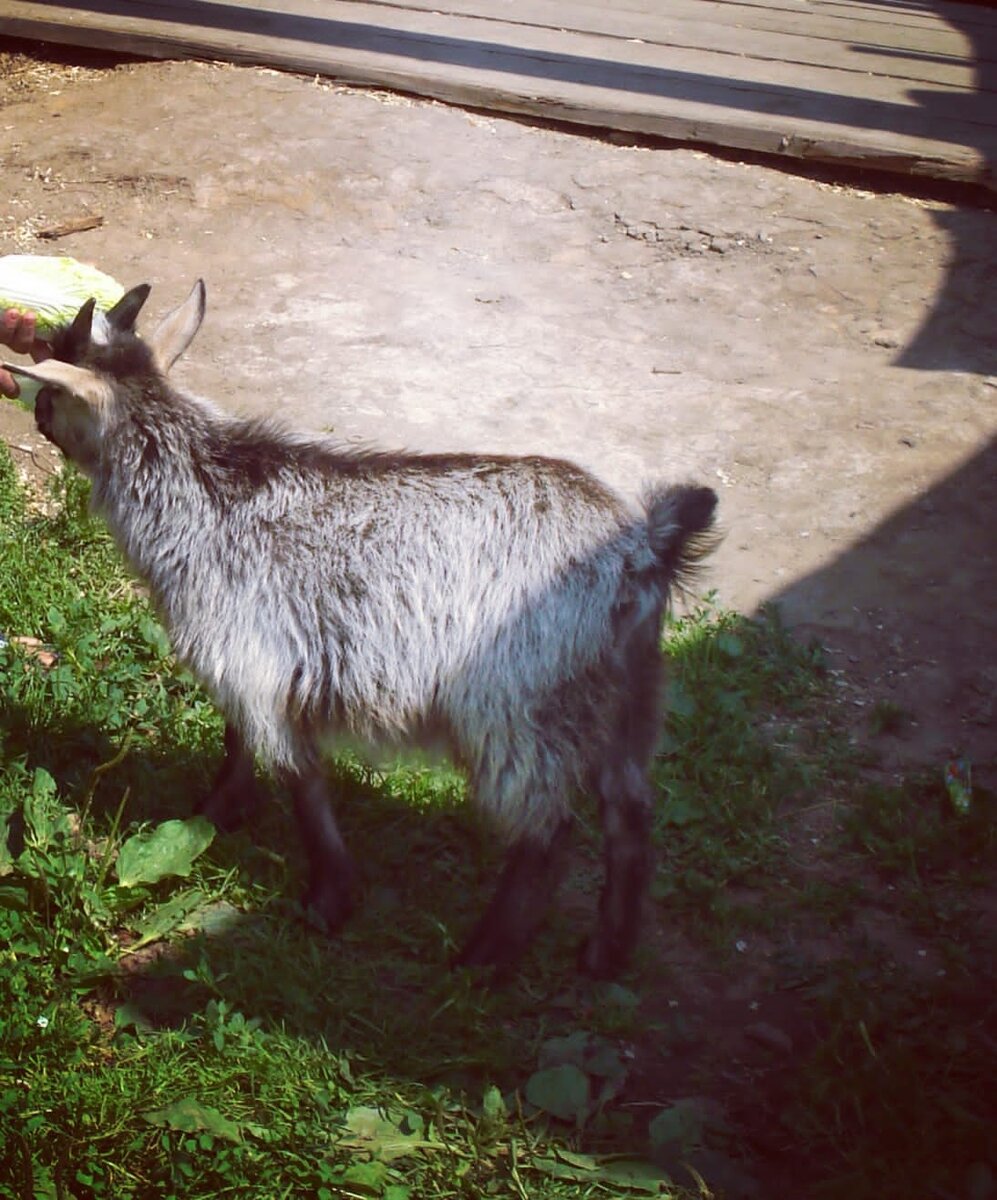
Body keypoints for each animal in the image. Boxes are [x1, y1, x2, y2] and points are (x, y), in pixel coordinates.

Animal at [3, 285, 715, 979]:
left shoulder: (252, 658)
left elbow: (292, 774)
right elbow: (244, 747)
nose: (35, 418)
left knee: (548, 830)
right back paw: (605, 954)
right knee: (628, 817)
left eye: (53, 387)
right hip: (631, 698)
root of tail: (643, 550)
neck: (206, 496)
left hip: (515, 710)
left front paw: (327, 896)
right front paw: (214, 818)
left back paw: (484, 957)